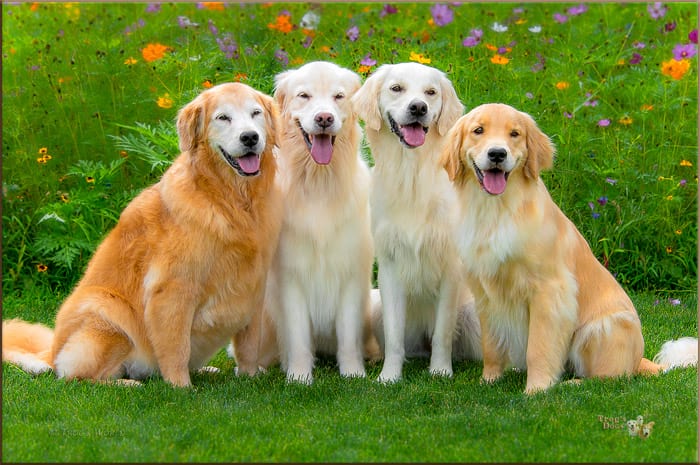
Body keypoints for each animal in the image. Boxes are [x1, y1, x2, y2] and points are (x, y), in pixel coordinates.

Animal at [3, 83, 282, 388]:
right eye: (223, 117)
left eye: (255, 113)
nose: (250, 137)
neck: (229, 201)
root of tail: (51, 353)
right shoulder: (172, 289)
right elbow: (176, 348)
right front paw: (181, 388)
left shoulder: (253, 286)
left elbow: (248, 346)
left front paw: (250, 377)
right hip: (105, 310)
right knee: (76, 377)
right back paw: (126, 384)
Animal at [356, 62, 482, 380]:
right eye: (396, 88)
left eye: (431, 92)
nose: (418, 108)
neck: (411, 174)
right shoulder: (389, 265)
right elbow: (395, 336)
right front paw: (389, 376)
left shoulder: (451, 267)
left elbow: (442, 334)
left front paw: (440, 371)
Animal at [440, 103, 696, 394]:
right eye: (478, 130)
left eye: (515, 134)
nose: (497, 154)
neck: (496, 211)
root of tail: (639, 359)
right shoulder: (486, 292)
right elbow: (491, 346)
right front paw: (489, 380)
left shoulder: (550, 291)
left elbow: (539, 347)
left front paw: (537, 389)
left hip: (603, 327)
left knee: (611, 377)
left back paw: (572, 383)